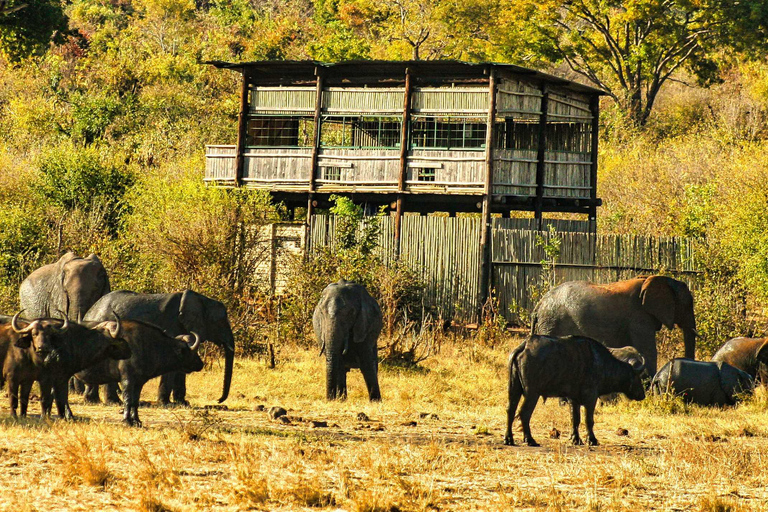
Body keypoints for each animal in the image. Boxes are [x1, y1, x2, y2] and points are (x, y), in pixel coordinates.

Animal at [83, 288, 234, 404]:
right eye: (220, 321)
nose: (218, 400)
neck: (200, 299)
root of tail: (90, 311)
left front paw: (183, 403)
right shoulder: (172, 325)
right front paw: (166, 404)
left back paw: (93, 400)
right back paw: (112, 402)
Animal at [508, 334, 644, 446]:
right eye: (637, 377)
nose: (642, 395)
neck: (602, 363)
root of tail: (525, 345)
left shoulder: (573, 399)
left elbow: (575, 419)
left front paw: (576, 439)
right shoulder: (591, 398)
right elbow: (588, 420)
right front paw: (592, 440)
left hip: (514, 389)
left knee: (510, 410)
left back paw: (509, 439)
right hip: (532, 393)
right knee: (524, 413)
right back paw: (530, 440)